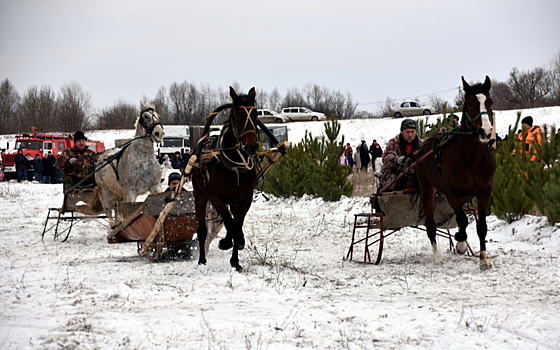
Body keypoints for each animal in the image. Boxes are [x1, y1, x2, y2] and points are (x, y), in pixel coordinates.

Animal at [194, 87, 260, 270]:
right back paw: (202, 259)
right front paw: (225, 243)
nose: (251, 146)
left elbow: (236, 228)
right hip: (199, 195)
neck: (234, 165)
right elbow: (230, 224)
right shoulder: (215, 197)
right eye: (237, 114)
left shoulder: (244, 199)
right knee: (202, 230)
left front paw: (235, 261)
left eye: (255, 113)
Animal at [416, 76, 494, 268]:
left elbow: (481, 226)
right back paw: (437, 256)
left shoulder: (484, 190)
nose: (486, 131)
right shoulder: (451, 191)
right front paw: (460, 240)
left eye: (489, 102)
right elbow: (463, 220)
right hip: (427, 188)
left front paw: (483, 258)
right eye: (470, 103)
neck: (471, 158)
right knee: (431, 225)